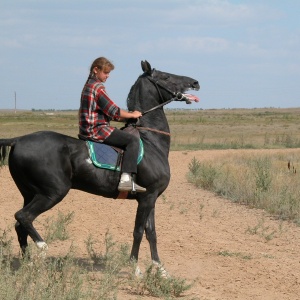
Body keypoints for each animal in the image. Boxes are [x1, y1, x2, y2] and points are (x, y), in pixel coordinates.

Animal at [0, 59, 199, 270]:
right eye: (165, 76)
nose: (195, 82)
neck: (150, 141)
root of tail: (18, 140)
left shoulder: (151, 197)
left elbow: (151, 232)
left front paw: (160, 269)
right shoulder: (146, 198)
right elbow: (138, 231)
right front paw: (135, 269)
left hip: (29, 193)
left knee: (20, 226)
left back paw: (28, 264)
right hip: (52, 192)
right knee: (23, 217)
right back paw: (42, 248)